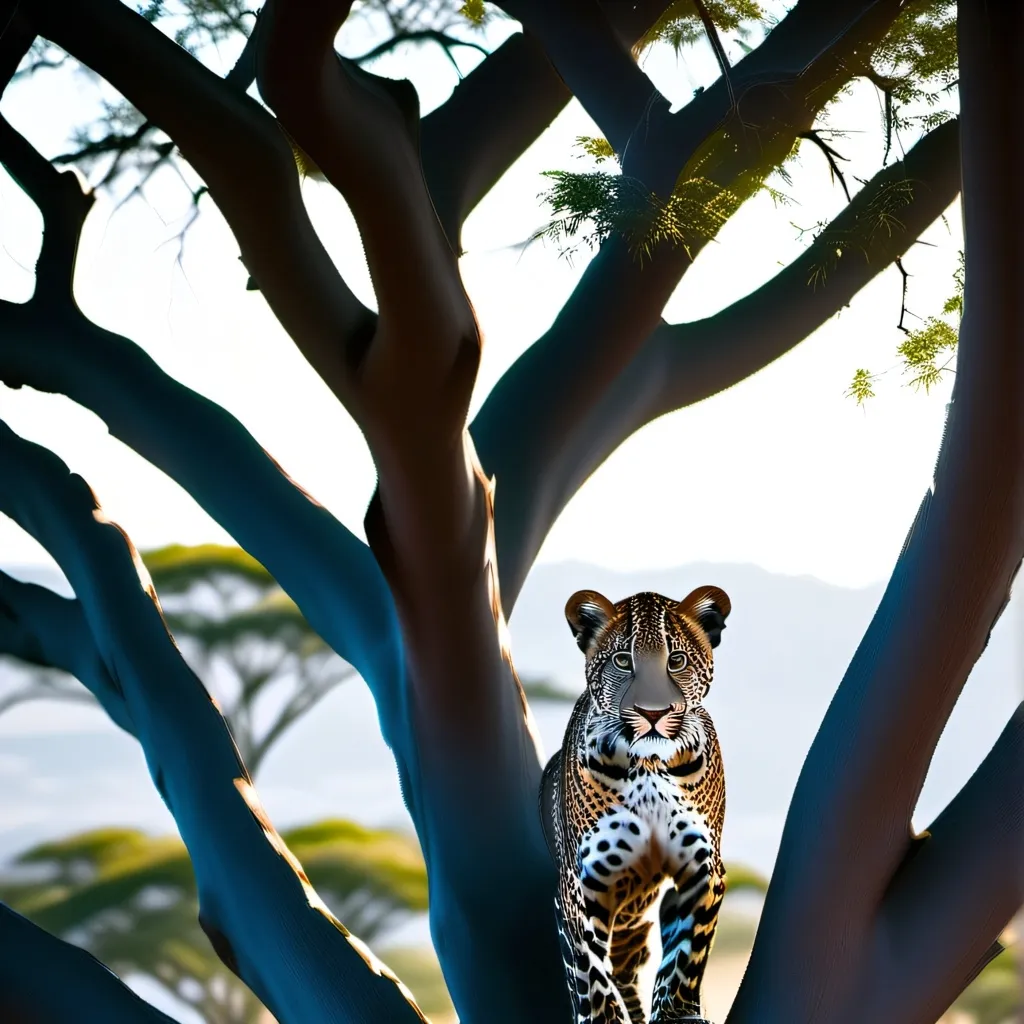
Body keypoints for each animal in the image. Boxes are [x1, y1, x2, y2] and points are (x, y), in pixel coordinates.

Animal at [540, 587, 731, 1024]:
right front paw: (603, 1018)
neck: (649, 765)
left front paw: (678, 1014)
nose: (653, 713)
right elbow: (590, 971)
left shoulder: (703, 871)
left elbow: (686, 954)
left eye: (676, 660)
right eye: (623, 660)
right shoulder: (578, 887)